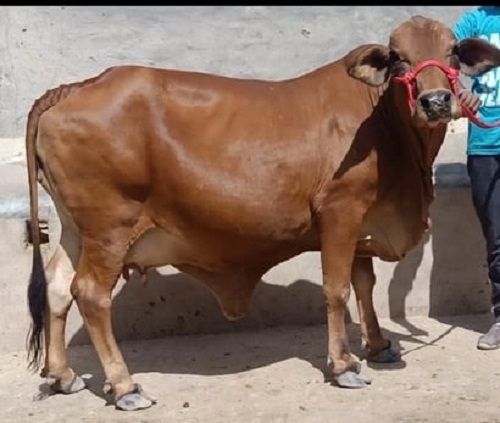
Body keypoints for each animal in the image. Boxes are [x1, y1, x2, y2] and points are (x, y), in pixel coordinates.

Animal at [25, 16, 500, 410]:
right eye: (399, 57)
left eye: (453, 51)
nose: (435, 101)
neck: (388, 130)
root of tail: (77, 86)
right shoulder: (340, 211)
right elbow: (338, 289)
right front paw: (344, 364)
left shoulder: (363, 221)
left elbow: (365, 284)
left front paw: (379, 345)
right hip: (110, 226)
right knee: (90, 293)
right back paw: (125, 386)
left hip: (76, 228)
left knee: (58, 286)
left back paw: (63, 375)